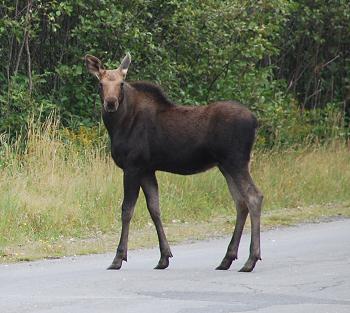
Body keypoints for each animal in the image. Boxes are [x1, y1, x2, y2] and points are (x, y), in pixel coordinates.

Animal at [86, 53, 264, 270]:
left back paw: (251, 259)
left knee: (254, 197)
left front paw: (118, 258)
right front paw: (164, 257)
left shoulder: (133, 166)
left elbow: (127, 210)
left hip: (236, 162)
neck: (118, 125)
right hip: (226, 165)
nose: (111, 103)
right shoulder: (147, 169)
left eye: (121, 83)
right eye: (100, 83)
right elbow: (155, 209)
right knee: (241, 202)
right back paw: (227, 259)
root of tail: (255, 121)